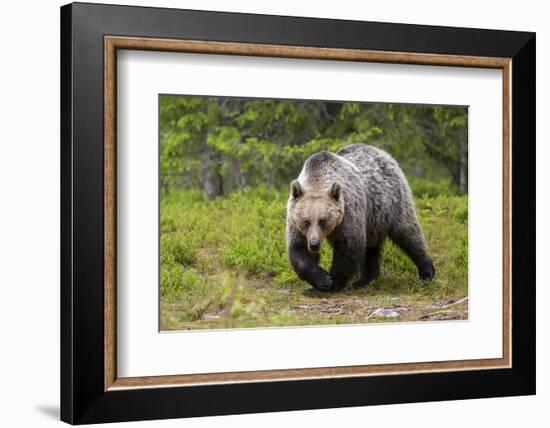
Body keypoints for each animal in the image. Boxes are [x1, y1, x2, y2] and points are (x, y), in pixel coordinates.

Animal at [288, 143, 436, 290]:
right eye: (306, 221)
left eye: (323, 220)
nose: (314, 244)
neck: (317, 179)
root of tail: (380, 152)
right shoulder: (295, 222)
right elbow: (298, 249)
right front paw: (321, 279)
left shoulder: (349, 212)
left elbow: (349, 246)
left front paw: (333, 282)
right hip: (373, 220)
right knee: (371, 247)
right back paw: (365, 279)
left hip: (393, 202)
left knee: (408, 234)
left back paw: (426, 272)